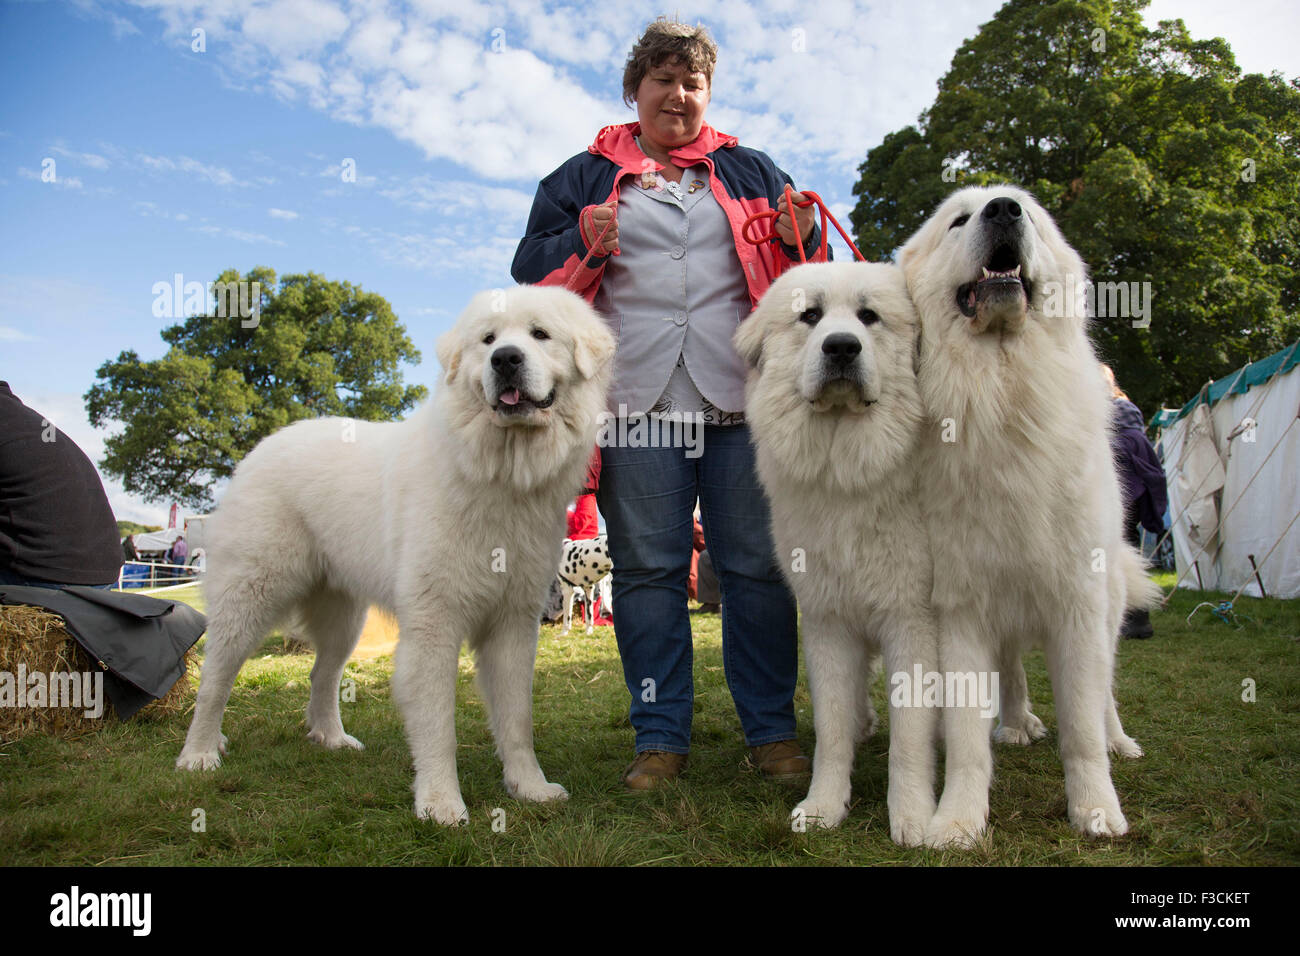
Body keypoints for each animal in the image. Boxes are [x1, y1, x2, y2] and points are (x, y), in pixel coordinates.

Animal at [176, 282, 613, 822]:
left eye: (540, 334)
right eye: (488, 340)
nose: (506, 359)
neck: (498, 473)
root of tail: (265, 446)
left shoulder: (513, 623)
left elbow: (517, 719)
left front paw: (529, 787)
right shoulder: (433, 624)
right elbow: (438, 726)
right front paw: (441, 804)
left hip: (344, 618)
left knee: (322, 675)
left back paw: (331, 738)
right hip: (252, 595)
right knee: (215, 679)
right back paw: (199, 753)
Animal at [738, 261, 941, 842]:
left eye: (869, 317)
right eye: (810, 316)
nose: (843, 347)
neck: (846, 472)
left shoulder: (912, 621)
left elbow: (910, 736)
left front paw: (912, 817)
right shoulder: (826, 621)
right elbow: (830, 727)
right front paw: (824, 806)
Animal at [899, 188, 1154, 853]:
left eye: (1030, 214)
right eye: (959, 219)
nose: (1003, 210)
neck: (1000, 389)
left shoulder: (1078, 604)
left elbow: (1083, 729)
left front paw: (1096, 810)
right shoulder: (961, 608)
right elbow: (966, 739)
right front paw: (957, 821)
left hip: (1107, 605)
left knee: (1105, 692)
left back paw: (1120, 740)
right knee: (1012, 673)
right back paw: (1015, 725)